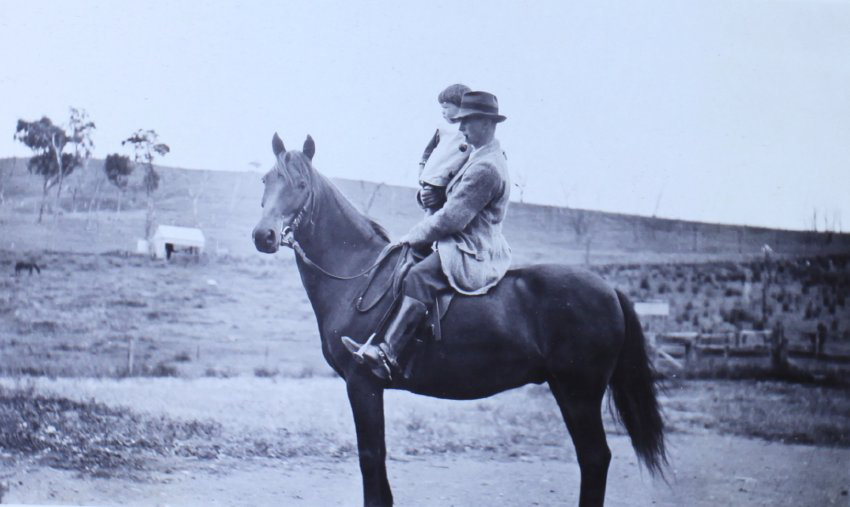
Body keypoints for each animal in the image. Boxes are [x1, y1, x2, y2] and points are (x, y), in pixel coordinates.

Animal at [252, 133, 666, 507]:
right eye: (266, 181)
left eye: (301, 185)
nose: (263, 236)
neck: (359, 273)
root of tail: (610, 289)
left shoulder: (363, 383)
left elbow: (371, 458)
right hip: (567, 390)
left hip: (579, 392)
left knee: (595, 457)